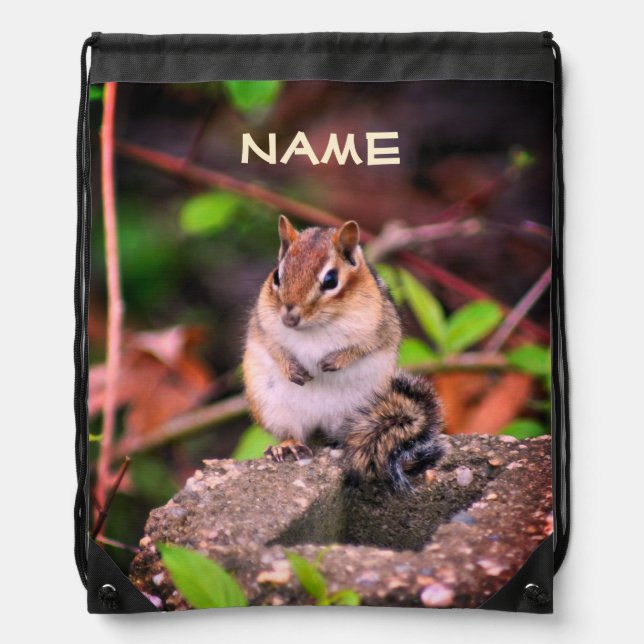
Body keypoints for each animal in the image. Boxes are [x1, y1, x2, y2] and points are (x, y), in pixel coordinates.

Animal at [243, 215, 444, 491]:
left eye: (330, 280)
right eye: (277, 276)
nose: (289, 317)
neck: (315, 327)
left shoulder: (381, 327)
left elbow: (366, 345)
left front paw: (335, 361)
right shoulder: (263, 325)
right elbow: (274, 347)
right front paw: (292, 368)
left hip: (362, 409)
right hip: (273, 407)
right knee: (292, 432)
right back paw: (288, 446)